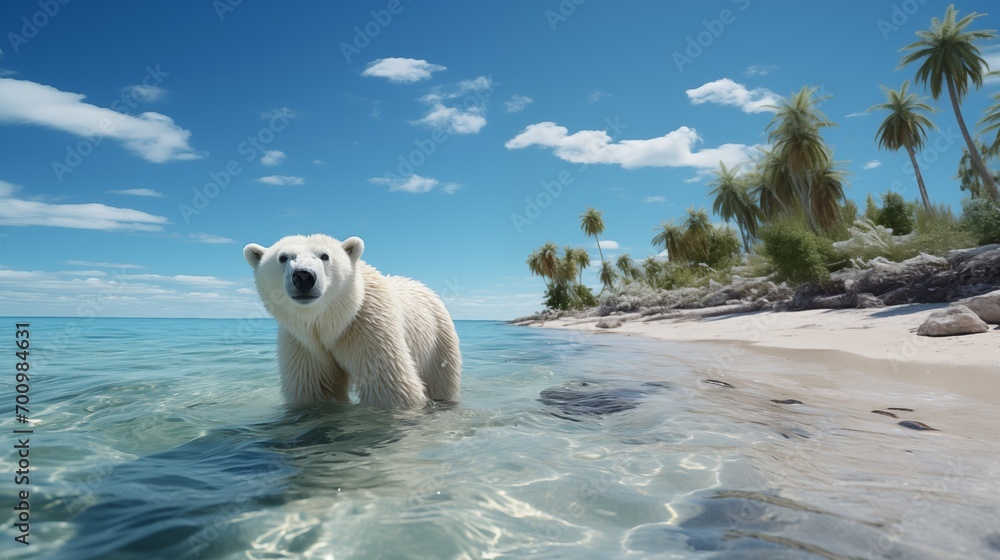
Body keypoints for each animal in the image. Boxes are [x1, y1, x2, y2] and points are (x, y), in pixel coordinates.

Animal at [243, 234, 461, 410]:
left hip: (438, 341)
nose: (304, 276)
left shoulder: (369, 327)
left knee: (441, 380)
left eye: (324, 256)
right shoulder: (303, 344)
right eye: (283, 257)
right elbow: (315, 388)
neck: (331, 321)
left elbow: (388, 386)